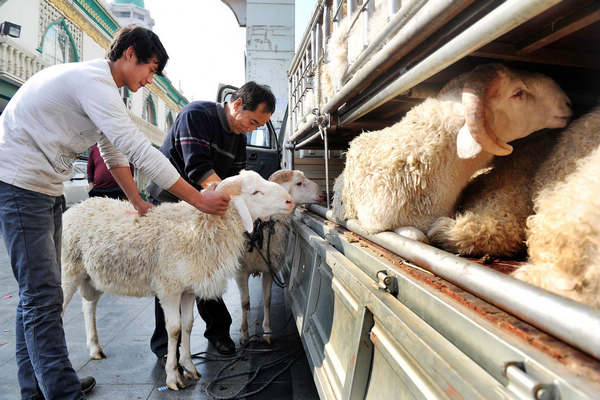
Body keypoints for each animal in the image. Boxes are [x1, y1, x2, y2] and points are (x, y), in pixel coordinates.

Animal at [60, 170, 292, 390]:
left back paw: (95, 348)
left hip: (91, 276)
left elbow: (187, 326)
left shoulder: (188, 290)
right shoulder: (169, 290)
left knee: (88, 306)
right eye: (255, 192)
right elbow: (174, 330)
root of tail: (75, 208)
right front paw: (173, 376)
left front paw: (189, 367)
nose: (290, 201)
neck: (200, 228)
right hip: (68, 271)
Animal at [233, 169, 322, 344]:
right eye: (299, 183)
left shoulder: (269, 269)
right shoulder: (241, 272)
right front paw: (244, 334)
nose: (322, 193)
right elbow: (244, 303)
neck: (265, 227)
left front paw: (267, 331)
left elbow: (267, 300)